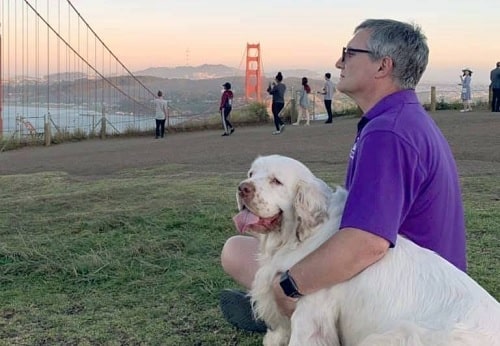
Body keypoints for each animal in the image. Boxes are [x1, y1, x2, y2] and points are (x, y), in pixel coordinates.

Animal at [232, 155, 500, 344]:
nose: (243, 188)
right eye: (251, 173)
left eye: (276, 181)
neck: (300, 235)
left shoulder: (310, 314)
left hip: (394, 337)